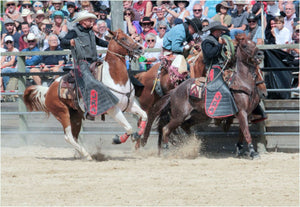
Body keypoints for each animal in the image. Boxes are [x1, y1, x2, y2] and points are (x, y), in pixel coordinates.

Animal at [23, 29, 148, 159]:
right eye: (123, 38)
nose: (140, 48)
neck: (116, 78)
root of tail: (48, 90)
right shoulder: (113, 109)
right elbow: (129, 128)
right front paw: (117, 139)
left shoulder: (129, 105)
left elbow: (144, 115)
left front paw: (137, 134)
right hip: (62, 113)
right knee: (68, 137)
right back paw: (86, 154)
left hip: (75, 116)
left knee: (74, 136)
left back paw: (80, 154)